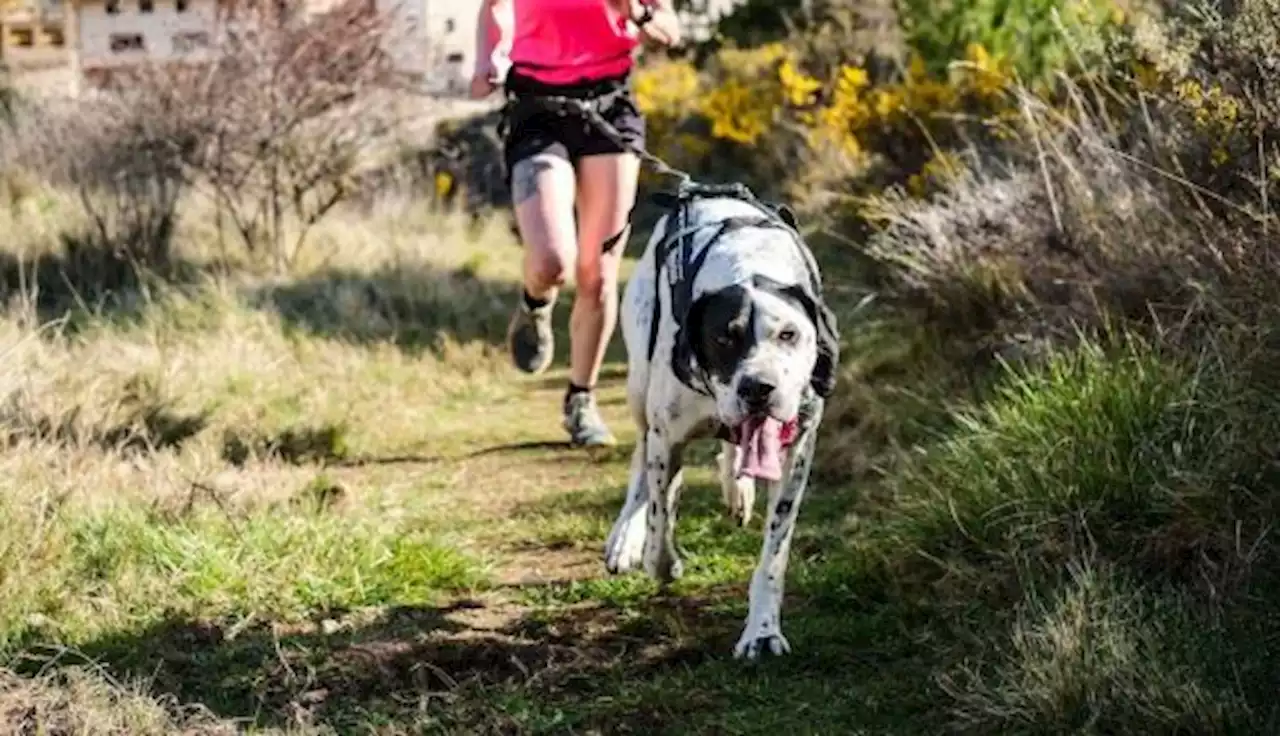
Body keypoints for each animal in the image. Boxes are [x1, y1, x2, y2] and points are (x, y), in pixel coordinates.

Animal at [601, 185, 839, 660]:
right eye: (723, 338)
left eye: (789, 335)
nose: (758, 387)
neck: (750, 266)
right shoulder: (667, 436)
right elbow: (660, 522)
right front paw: (659, 556)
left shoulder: (798, 449)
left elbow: (774, 556)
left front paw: (762, 632)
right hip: (639, 387)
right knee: (641, 465)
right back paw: (626, 536)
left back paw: (737, 486)